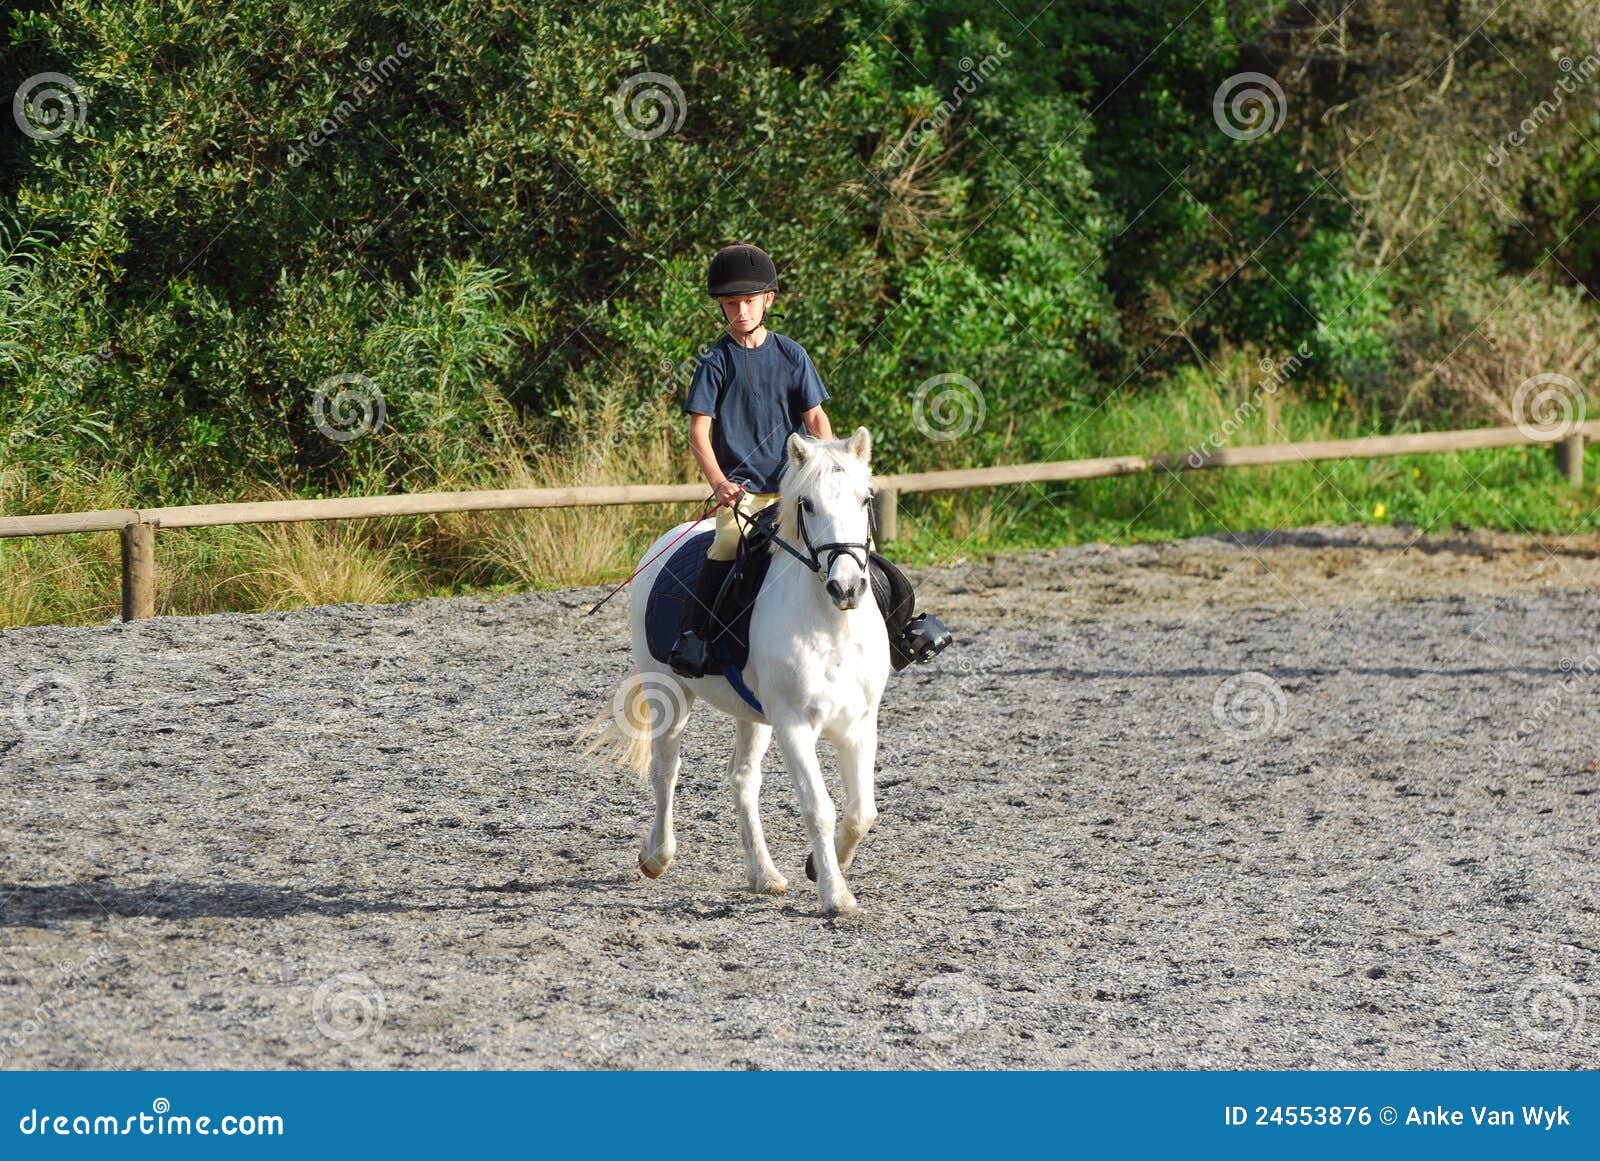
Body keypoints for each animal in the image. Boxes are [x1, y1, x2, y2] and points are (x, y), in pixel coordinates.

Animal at [582, 428, 896, 921]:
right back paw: (656, 857)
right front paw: (836, 894)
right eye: (807, 504)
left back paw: (764, 875)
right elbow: (819, 808)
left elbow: (862, 811)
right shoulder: (794, 725)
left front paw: (820, 867)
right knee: (666, 769)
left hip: (753, 715)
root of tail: (666, 541)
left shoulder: (859, 725)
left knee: (743, 779)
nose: (845, 588)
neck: (830, 625)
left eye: (865, 499)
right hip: (669, 692)